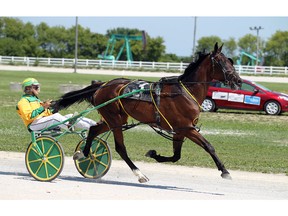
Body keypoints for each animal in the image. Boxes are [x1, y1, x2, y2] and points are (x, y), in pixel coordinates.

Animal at [52, 43, 243, 183]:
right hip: (115, 120)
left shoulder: (180, 130)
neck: (185, 92)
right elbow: (208, 146)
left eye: (230, 61)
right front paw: (225, 171)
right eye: (222, 61)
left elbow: (176, 156)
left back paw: (83, 154)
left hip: (114, 119)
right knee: (120, 148)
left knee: (93, 130)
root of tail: (102, 85)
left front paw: (154, 154)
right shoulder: (187, 128)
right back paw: (139, 174)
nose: (238, 80)